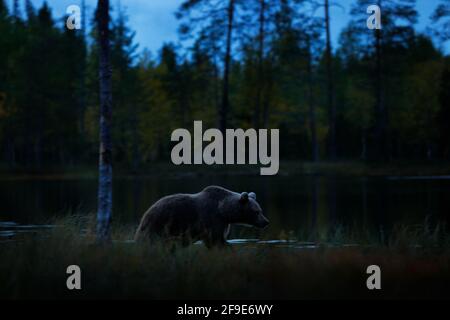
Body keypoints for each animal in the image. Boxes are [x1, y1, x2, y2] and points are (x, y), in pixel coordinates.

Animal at [133, 185, 268, 248]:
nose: (266, 222)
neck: (224, 211)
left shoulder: (223, 223)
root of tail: (147, 212)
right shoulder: (212, 219)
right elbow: (216, 240)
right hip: (160, 223)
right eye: (256, 211)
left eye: (261, 210)